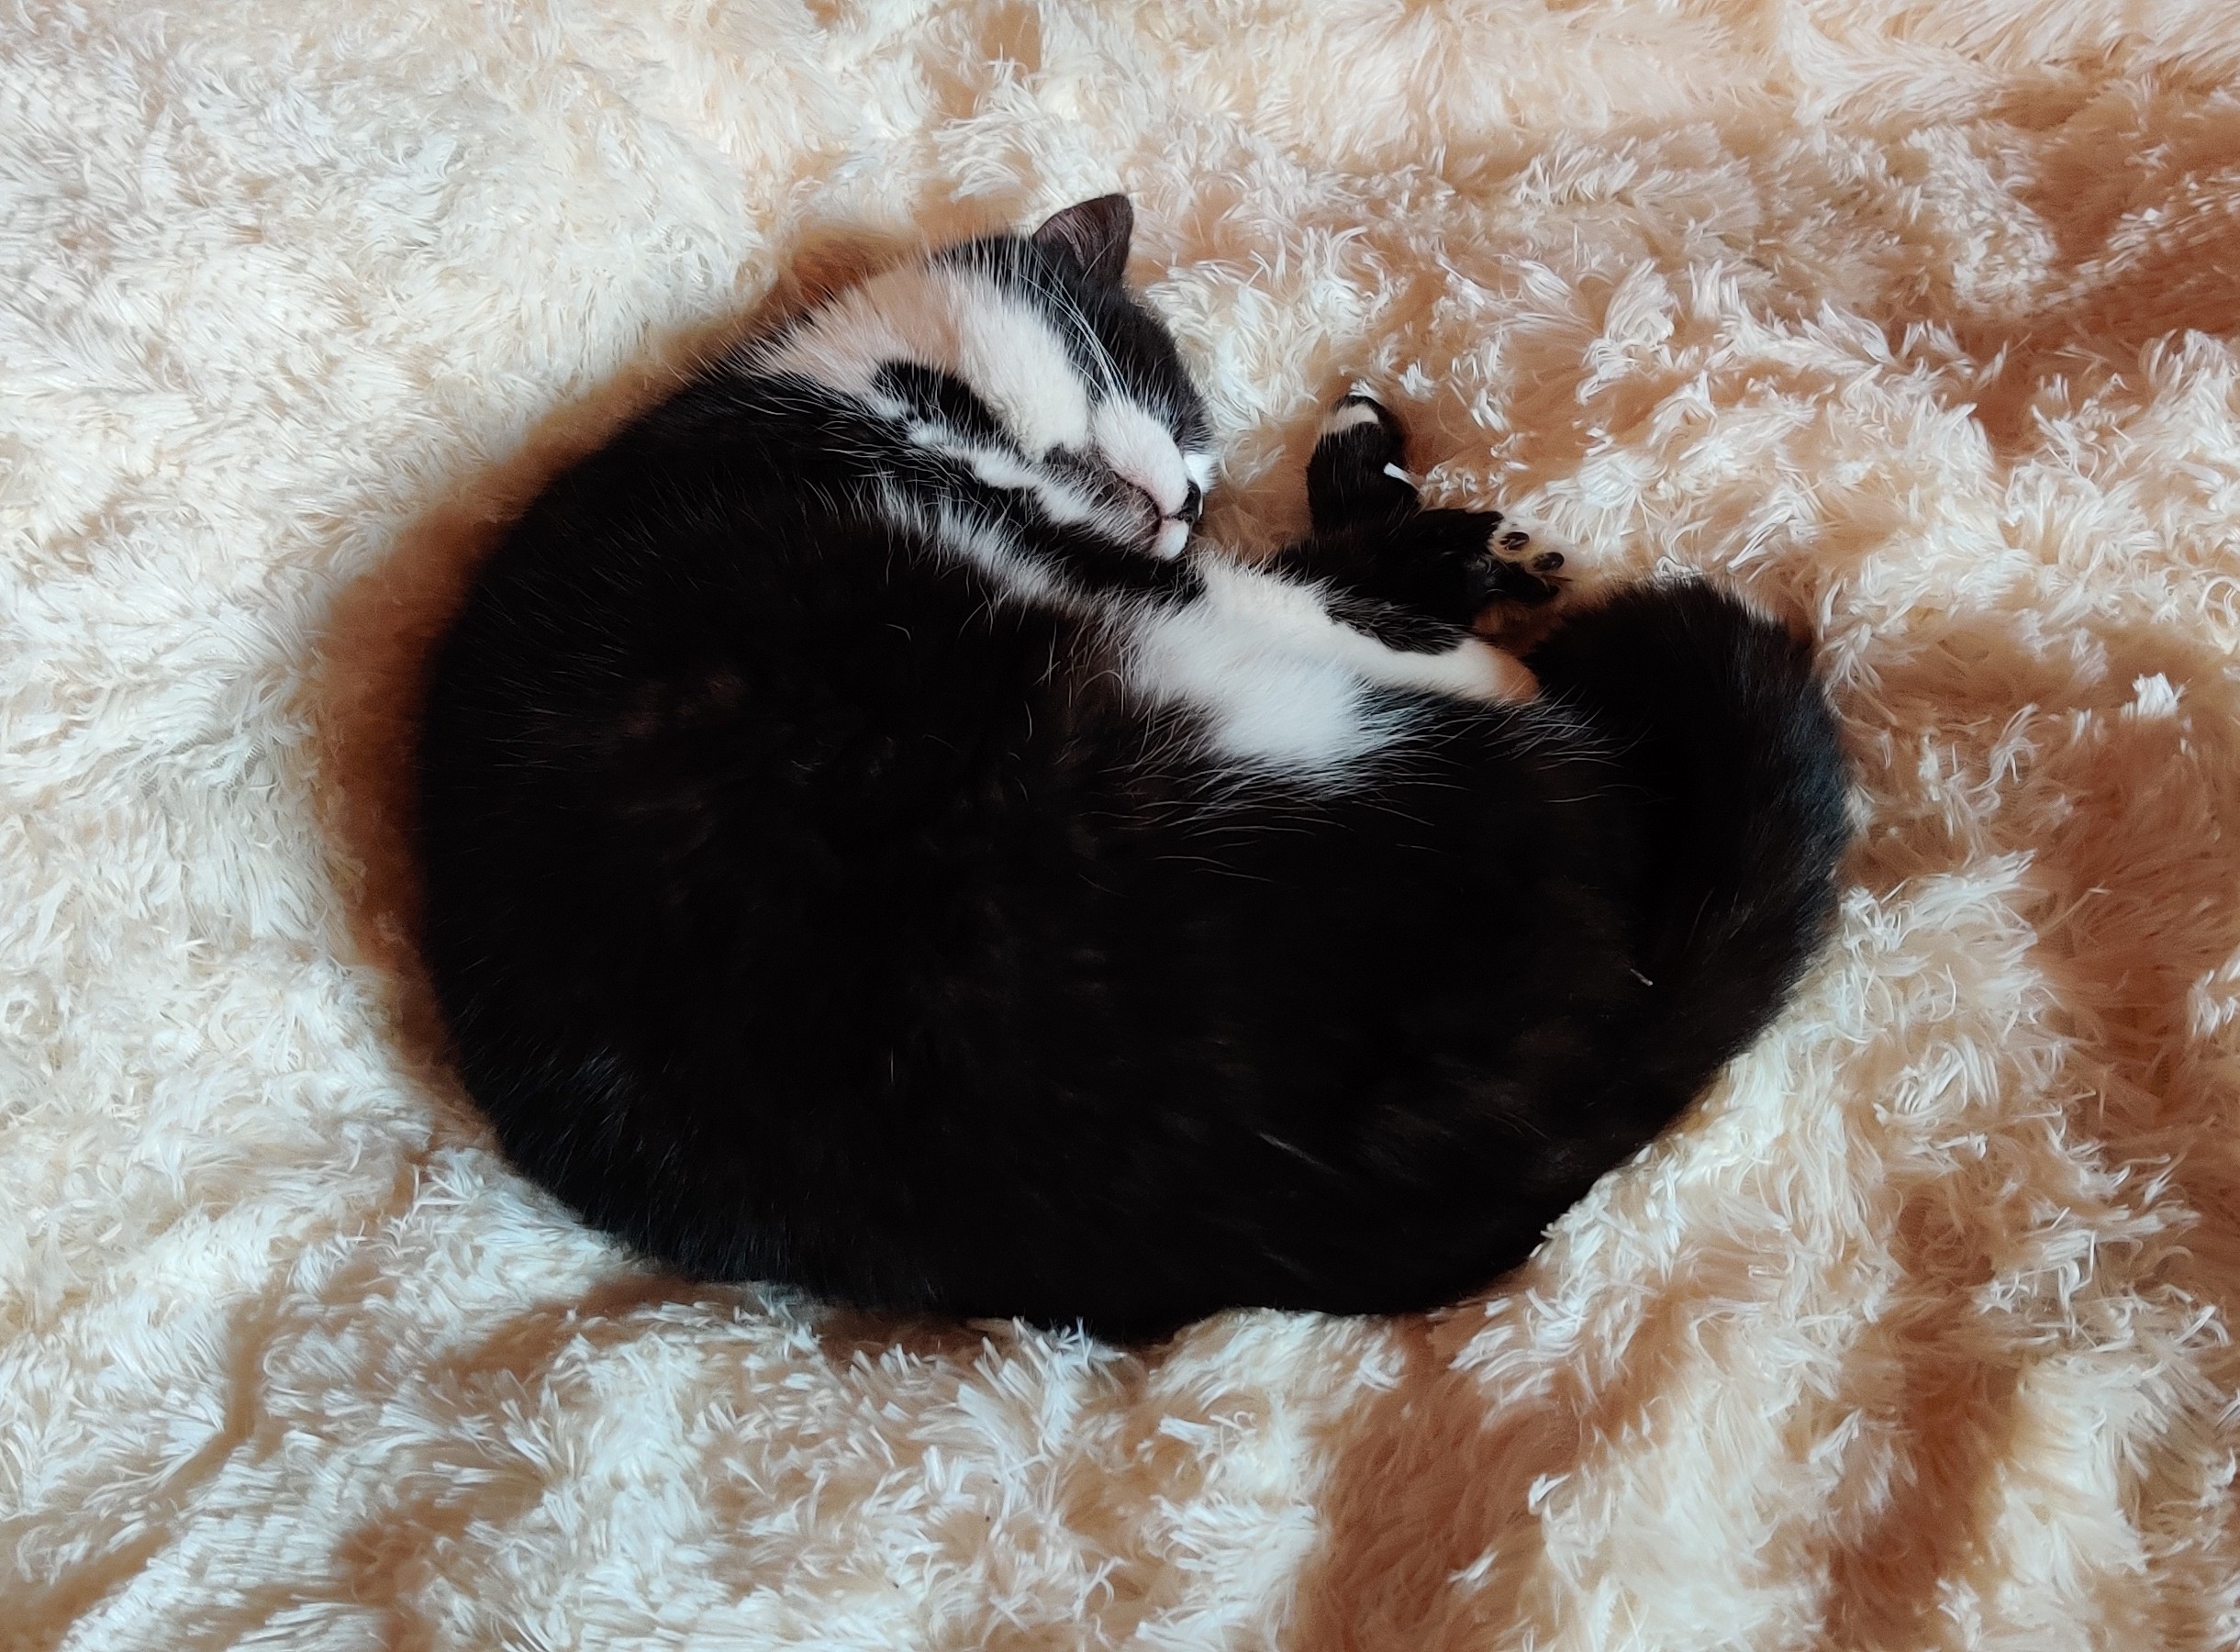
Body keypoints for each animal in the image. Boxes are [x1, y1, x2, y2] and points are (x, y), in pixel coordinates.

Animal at [416, 195, 1852, 1341]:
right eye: (1132, 378)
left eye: (1205, 475)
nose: (1181, 498)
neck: (860, 395)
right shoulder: (1133, 576)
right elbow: (1306, 590)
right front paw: (1434, 561)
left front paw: (1403, 499)